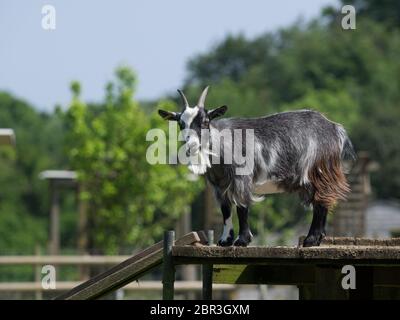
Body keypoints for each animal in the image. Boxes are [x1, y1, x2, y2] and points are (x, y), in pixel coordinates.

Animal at [158, 87, 354, 248]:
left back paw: (311, 240)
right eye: (180, 123)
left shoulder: (241, 179)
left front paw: (242, 240)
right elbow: (226, 211)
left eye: (205, 122)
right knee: (323, 200)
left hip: (319, 170)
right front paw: (224, 240)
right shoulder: (219, 187)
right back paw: (317, 238)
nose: (191, 145)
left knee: (321, 201)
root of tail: (335, 128)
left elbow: (241, 207)